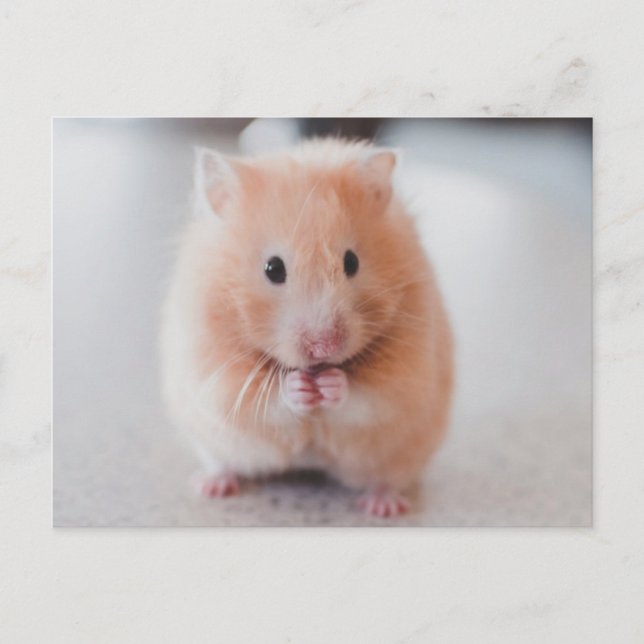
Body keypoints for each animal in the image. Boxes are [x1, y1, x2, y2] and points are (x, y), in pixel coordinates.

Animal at [160, 138, 453, 518]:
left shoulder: (406, 373)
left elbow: (368, 397)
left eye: (351, 262)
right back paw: (211, 486)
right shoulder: (215, 372)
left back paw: (383, 507)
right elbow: (264, 400)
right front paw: (299, 387)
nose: (324, 347)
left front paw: (331, 384)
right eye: (273, 268)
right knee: (223, 463)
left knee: (387, 479)